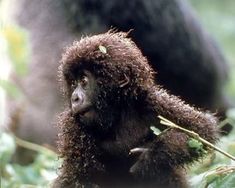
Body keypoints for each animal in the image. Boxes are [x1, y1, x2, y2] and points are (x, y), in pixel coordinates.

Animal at [53, 31, 218, 187]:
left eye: (83, 81)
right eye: (73, 83)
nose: (74, 98)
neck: (117, 113)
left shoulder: (152, 103)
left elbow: (201, 130)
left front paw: (152, 156)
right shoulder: (73, 125)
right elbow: (76, 178)